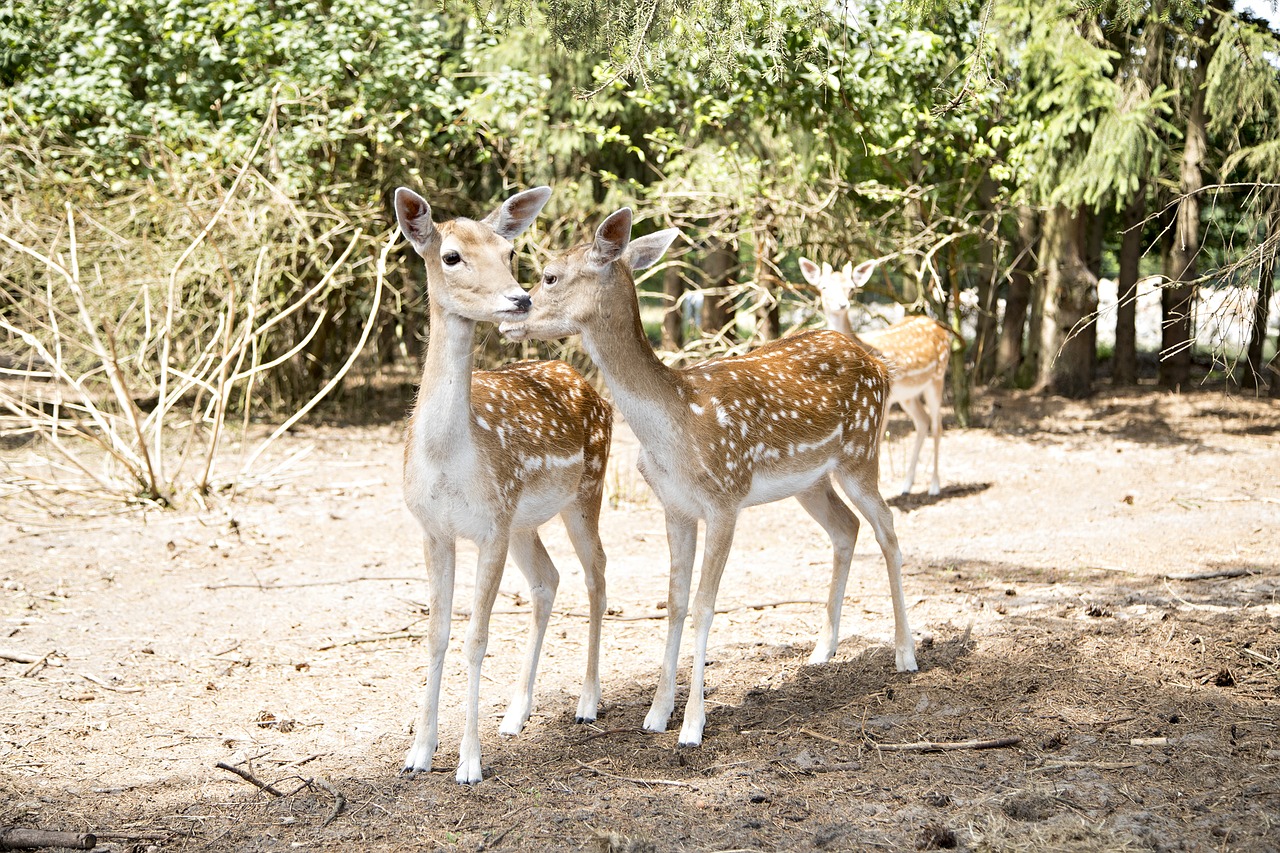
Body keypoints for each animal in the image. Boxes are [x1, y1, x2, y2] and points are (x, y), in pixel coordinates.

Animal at [391, 185, 611, 783]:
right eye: (450, 256)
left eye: (509, 252)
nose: (520, 300)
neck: (449, 459)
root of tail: (587, 384)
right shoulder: (433, 529)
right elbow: (436, 633)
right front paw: (418, 753)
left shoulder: (488, 528)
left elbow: (476, 637)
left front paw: (469, 762)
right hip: (523, 522)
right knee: (548, 579)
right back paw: (516, 713)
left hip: (586, 490)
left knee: (597, 573)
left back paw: (586, 702)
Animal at [499, 208, 921, 747]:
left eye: (550, 275)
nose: (511, 314)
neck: (677, 427)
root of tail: (878, 362)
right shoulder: (675, 506)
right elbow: (675, 601)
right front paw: (657, 713)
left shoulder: (725, 499)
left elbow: (704, 605)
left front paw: (693, 725)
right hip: (810, 481)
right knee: (846, 528)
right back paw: (822, 650)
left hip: (861, 452)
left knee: (888, 528)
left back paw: (906, 654)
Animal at [798, 258, 952, 499]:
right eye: (823, 287)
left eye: (851, 288)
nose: (842, 304)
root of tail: (941, 329)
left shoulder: (884, 402)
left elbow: (876, 441)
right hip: (908, 395)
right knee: (923, 421)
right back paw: (906, 485)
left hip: (937, 377)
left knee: (937, 425)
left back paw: (934, 487)